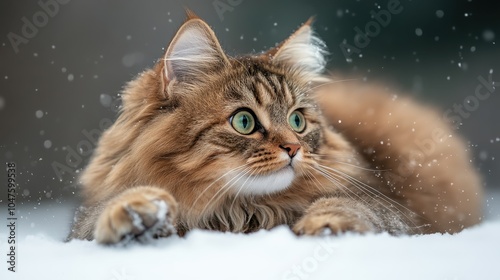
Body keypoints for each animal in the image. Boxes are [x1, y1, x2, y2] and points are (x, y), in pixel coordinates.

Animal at [67, 12, 484, 245]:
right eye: (244, 121)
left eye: (298, 121)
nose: (293, 149)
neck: (242, 212)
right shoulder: (82, 226)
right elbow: (106, 214)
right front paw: (137, 214)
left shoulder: (390, 207)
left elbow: (346, 206)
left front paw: (326, 226)